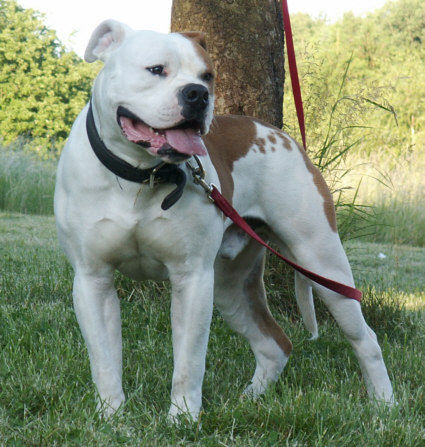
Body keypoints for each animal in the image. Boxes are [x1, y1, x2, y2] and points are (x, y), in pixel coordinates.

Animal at [54, 20, 392, 420]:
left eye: (207, 76)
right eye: (156, 69)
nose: (197, 94)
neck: (141, 175)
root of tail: (282, 136)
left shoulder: (193, 279)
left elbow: (189, 361)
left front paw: (182, 418)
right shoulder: (94, 281)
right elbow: (104, 361)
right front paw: (112, 417)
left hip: (321, 262)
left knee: (365, 339)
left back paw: (385, 406)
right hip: (233, 286)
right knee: (275, 344)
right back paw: (251, 399)